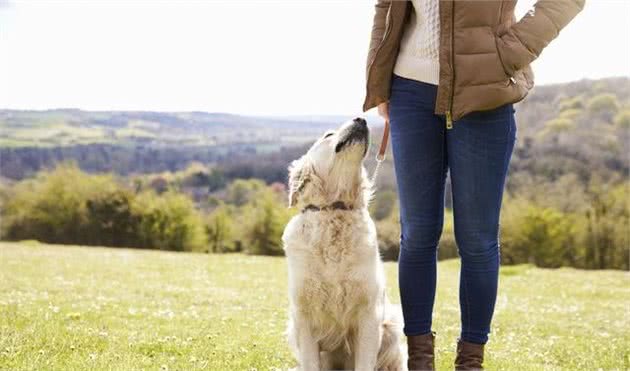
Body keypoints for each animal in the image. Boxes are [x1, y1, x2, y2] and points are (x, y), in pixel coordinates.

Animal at [284, 119, 408, 371]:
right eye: (328, 135)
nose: (361, 119)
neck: (335, 209)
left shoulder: (369, 314)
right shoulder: (304, 316)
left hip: (391, 326)